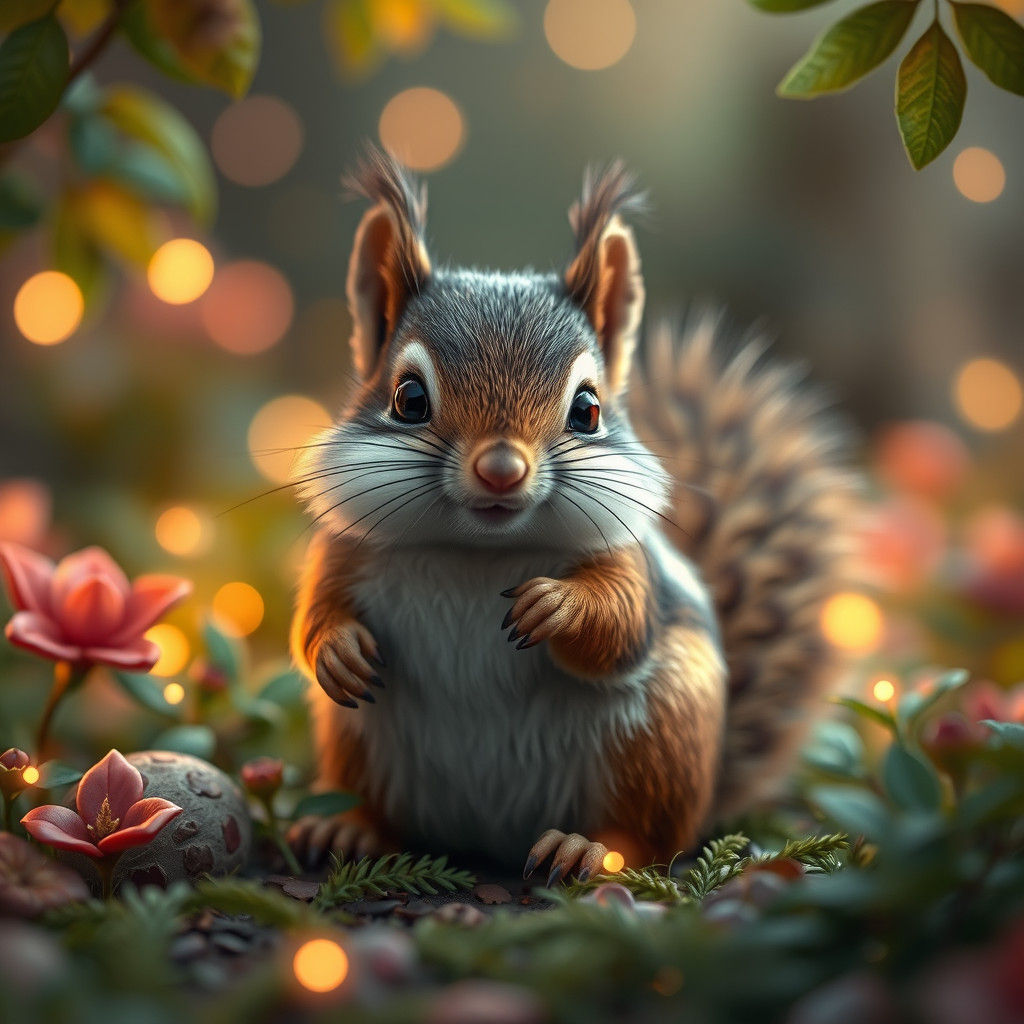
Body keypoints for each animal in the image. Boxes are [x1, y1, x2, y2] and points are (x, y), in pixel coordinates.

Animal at [287, 148, 856, 884]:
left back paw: (587, 847)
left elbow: (622, 624)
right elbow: (311, 616)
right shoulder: (342, 550)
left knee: (652, 837)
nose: (502, 469)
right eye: (408, 398)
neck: (477, 551)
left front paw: (556, 606)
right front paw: (336, 650)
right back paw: (348, 828)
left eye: (587, 409)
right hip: (355, 742)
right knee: (384, 815)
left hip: (662, 732)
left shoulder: (629, 560)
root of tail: (489, 840)